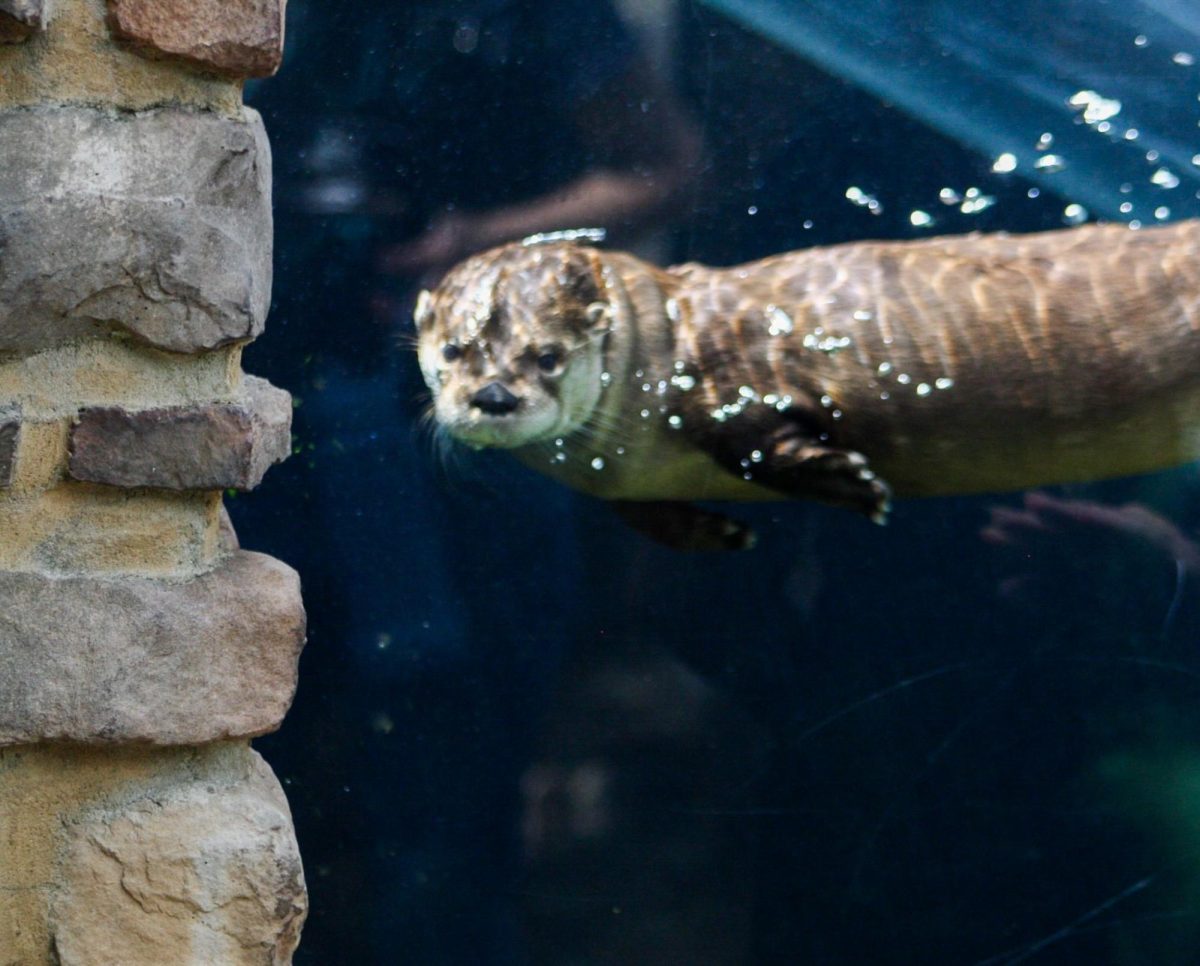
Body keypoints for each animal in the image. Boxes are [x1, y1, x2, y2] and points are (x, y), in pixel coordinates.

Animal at [415, 221, 1200, 548]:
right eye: (453, 350)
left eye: (546, 356)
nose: (492, 397)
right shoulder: (624, 481)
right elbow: (643, 512)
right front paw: (715, 533)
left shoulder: (730, 386)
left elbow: (759, 442)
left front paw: (851, 483)